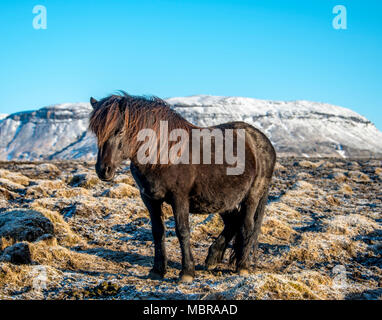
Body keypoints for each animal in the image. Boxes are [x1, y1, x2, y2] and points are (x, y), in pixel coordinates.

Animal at [89, 92, 274, 282]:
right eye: (96, 132)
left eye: (119, 130)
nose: (103, 170)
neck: (162, 154)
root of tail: (261, 139)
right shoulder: (149, 199)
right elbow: (157, 232)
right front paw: (157, 270)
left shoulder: (179, 198)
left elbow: (182, 231)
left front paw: (186, 272)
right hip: (223, 199)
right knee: (233, 222)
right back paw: (212, 259)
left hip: (251, 196)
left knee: (246, 226)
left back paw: (242, 266)